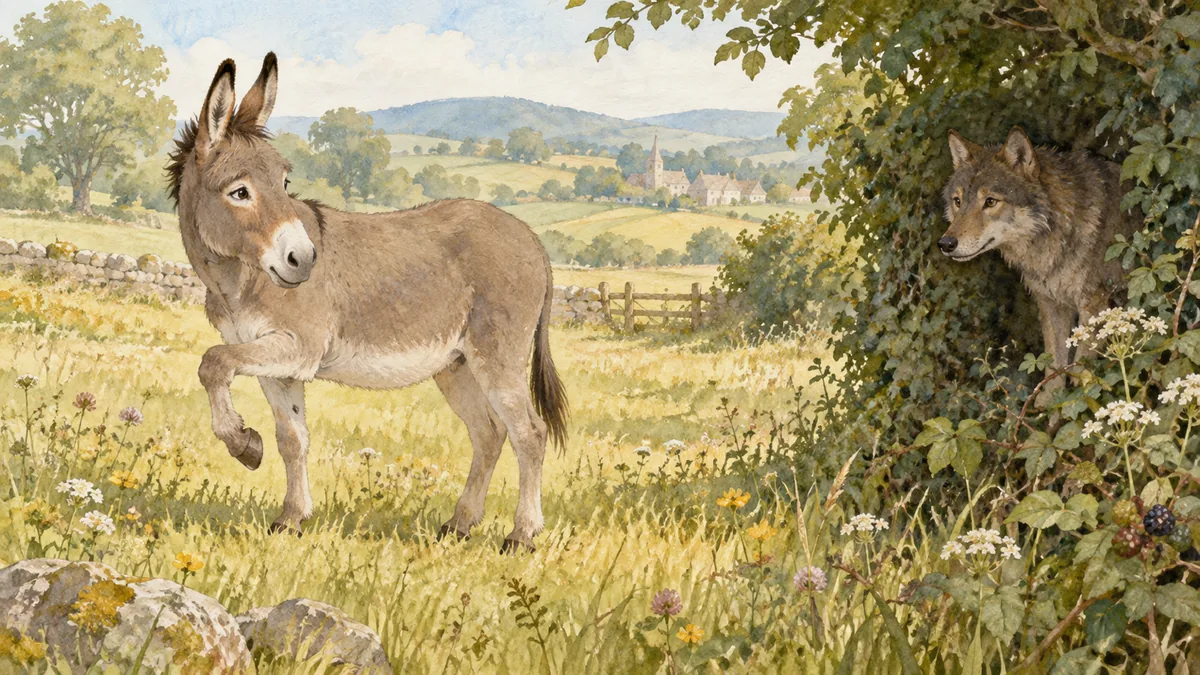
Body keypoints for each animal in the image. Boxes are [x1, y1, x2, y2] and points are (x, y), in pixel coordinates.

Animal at [939, 127, 1137, 401]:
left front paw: (1077, 403)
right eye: (958, 201)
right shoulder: (1050, 304)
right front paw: (1048, 404)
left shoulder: (1094, 304)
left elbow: (1081, 367)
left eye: (990, 202)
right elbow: (1055, 363)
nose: (946, 243)